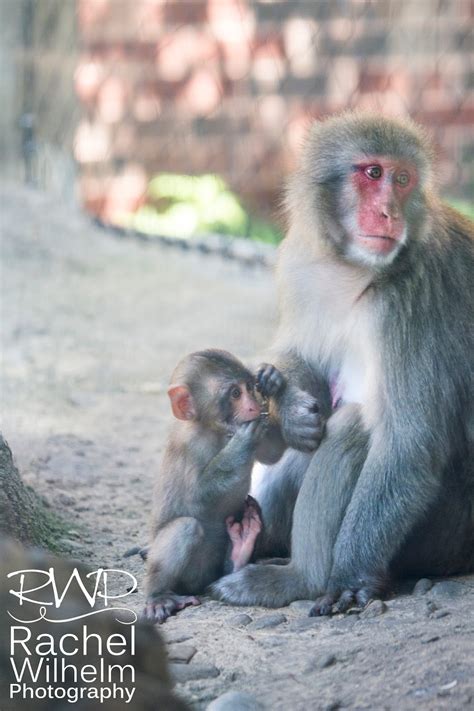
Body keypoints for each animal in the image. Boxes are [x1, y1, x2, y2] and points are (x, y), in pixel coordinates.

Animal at [144, 350, 286, 624]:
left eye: (250, 387)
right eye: (235, 394)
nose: (254, 406)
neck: (213, 430)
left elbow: (271, 454)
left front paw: (272, 379)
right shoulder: (191, 446)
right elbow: (199, 497)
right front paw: (245, 438)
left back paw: (241, 550)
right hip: (189, 579)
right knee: (185, 527)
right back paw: (158, 596)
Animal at [211, 114, 474, 616]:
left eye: (403, 179)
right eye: (373, 173)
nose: (390, 213)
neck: (355, 271)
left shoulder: (411, 302)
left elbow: (408, 446)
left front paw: (350, 576)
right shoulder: (300, 263)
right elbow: (303, 361)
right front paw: (290, 404)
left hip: (441, 534)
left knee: (353, 424)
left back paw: (300, 578)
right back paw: (251, 543)